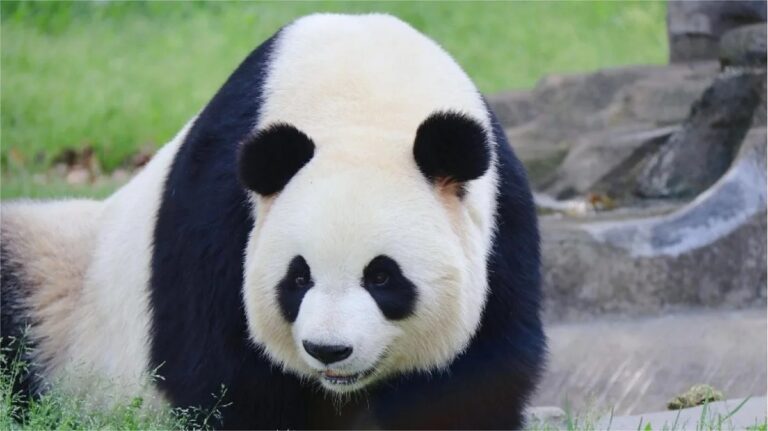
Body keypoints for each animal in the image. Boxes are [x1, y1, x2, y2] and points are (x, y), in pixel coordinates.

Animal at [1, 13, 545, 429]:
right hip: (60, 283)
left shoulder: (501, 231)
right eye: (297, 277)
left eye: (382, 276)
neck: (362, 101)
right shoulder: (219, 214)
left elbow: (472, 378)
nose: (329, 350)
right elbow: (225, 375)